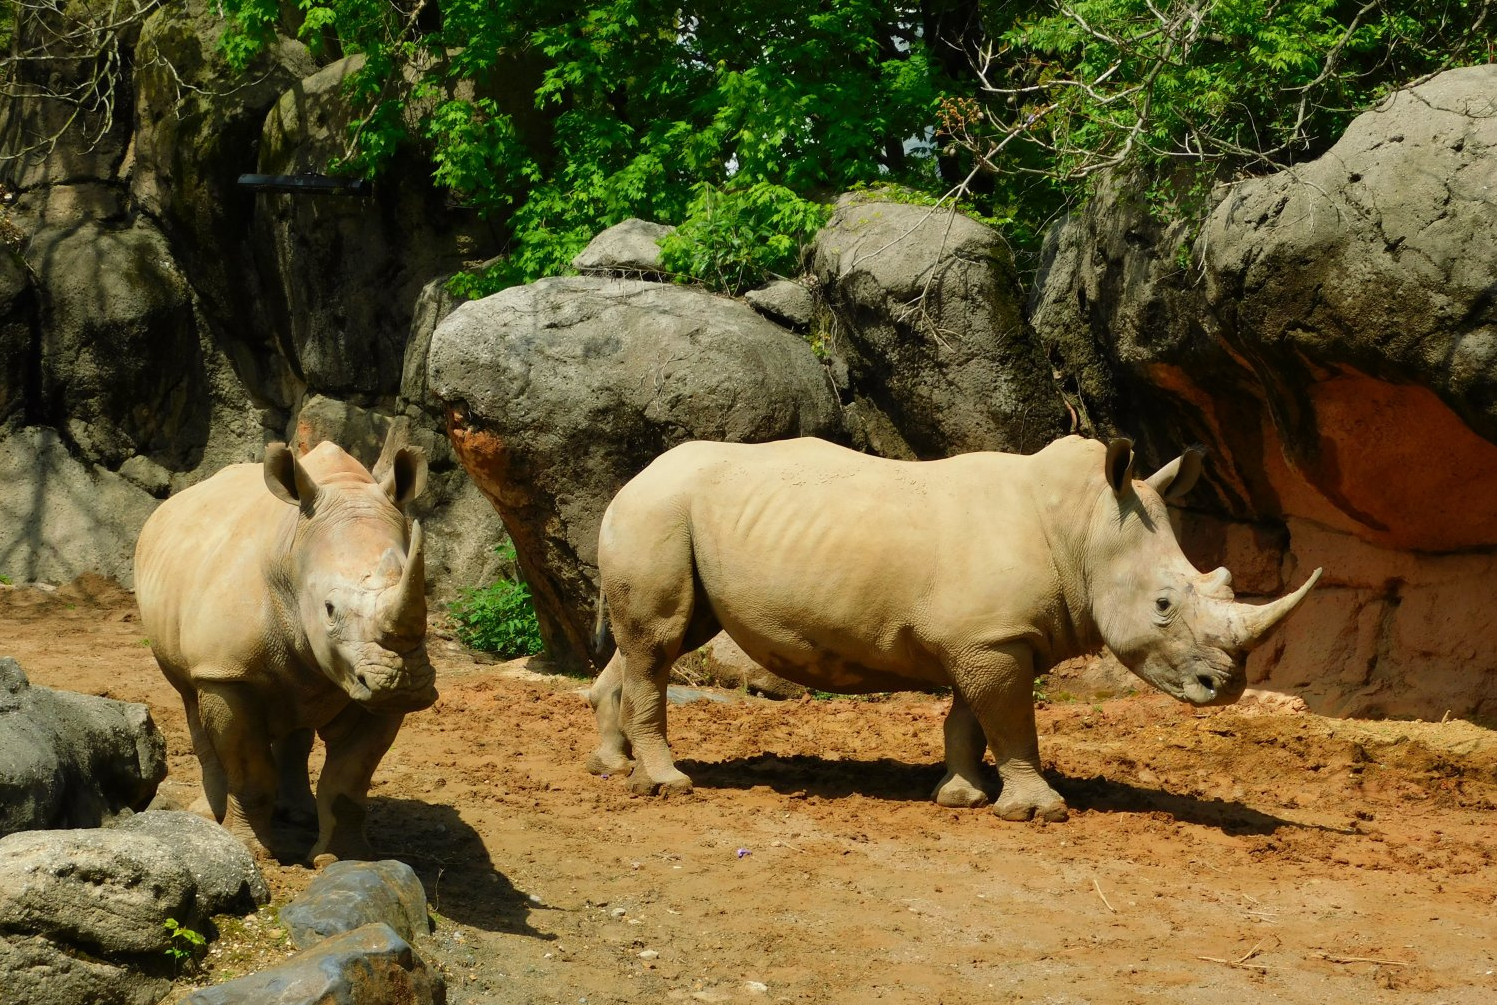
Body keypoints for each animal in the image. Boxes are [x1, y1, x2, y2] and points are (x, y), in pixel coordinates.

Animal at [134, 436, 436, 860]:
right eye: (329, 609)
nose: (402, 683)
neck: (292, 557)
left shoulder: (373, 687)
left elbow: (348, 780)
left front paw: (345, 858)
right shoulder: (227, 672)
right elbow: (250, 773)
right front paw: (252, 850)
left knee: (299, 709)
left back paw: (299, 815)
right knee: (190, 698)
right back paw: (209, 816)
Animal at [588, 435, 1321, 821]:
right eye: (1164, 604)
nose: (1225, 687)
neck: (1083, 526)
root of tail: (632, 477)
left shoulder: (988, 634)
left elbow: (972, 717)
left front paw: (962, 797)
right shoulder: (992, 638)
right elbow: (1013, 723)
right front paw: (1037, 810)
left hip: (672, 515)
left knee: (657, 639)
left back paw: (611, 765)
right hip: (657, 511)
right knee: (658, 643)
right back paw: (667, 785)